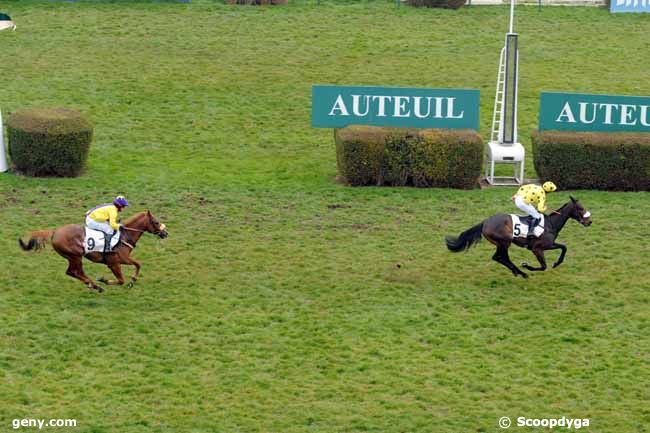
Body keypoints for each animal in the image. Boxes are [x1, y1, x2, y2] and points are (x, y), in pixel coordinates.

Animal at [19, 211, 168, 292]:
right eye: (156, 222)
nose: (165, 233)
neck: (124, 236)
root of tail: (55, 231)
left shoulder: (123, 259)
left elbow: (138, 264)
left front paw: (132, 281)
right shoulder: (115, 262)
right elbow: (121, 280)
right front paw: (104, 280)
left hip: (74, 257)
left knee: (75, 272)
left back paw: (93, 285)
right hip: (75, 255)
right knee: (72, 272)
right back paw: (96, 285)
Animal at [442, 197, 588, 278]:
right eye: (580, 208)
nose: (589, 221)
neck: (551, 224)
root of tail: (485, 222)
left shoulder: (548, 245)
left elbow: (564, 247)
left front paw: (557, 263)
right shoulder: (537, 249)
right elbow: (543, 266)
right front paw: (527, 266)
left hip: (502, 243)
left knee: (500, 258)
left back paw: (517, 272)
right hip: (505, 241)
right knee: (499, 257)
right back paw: (521, 272)